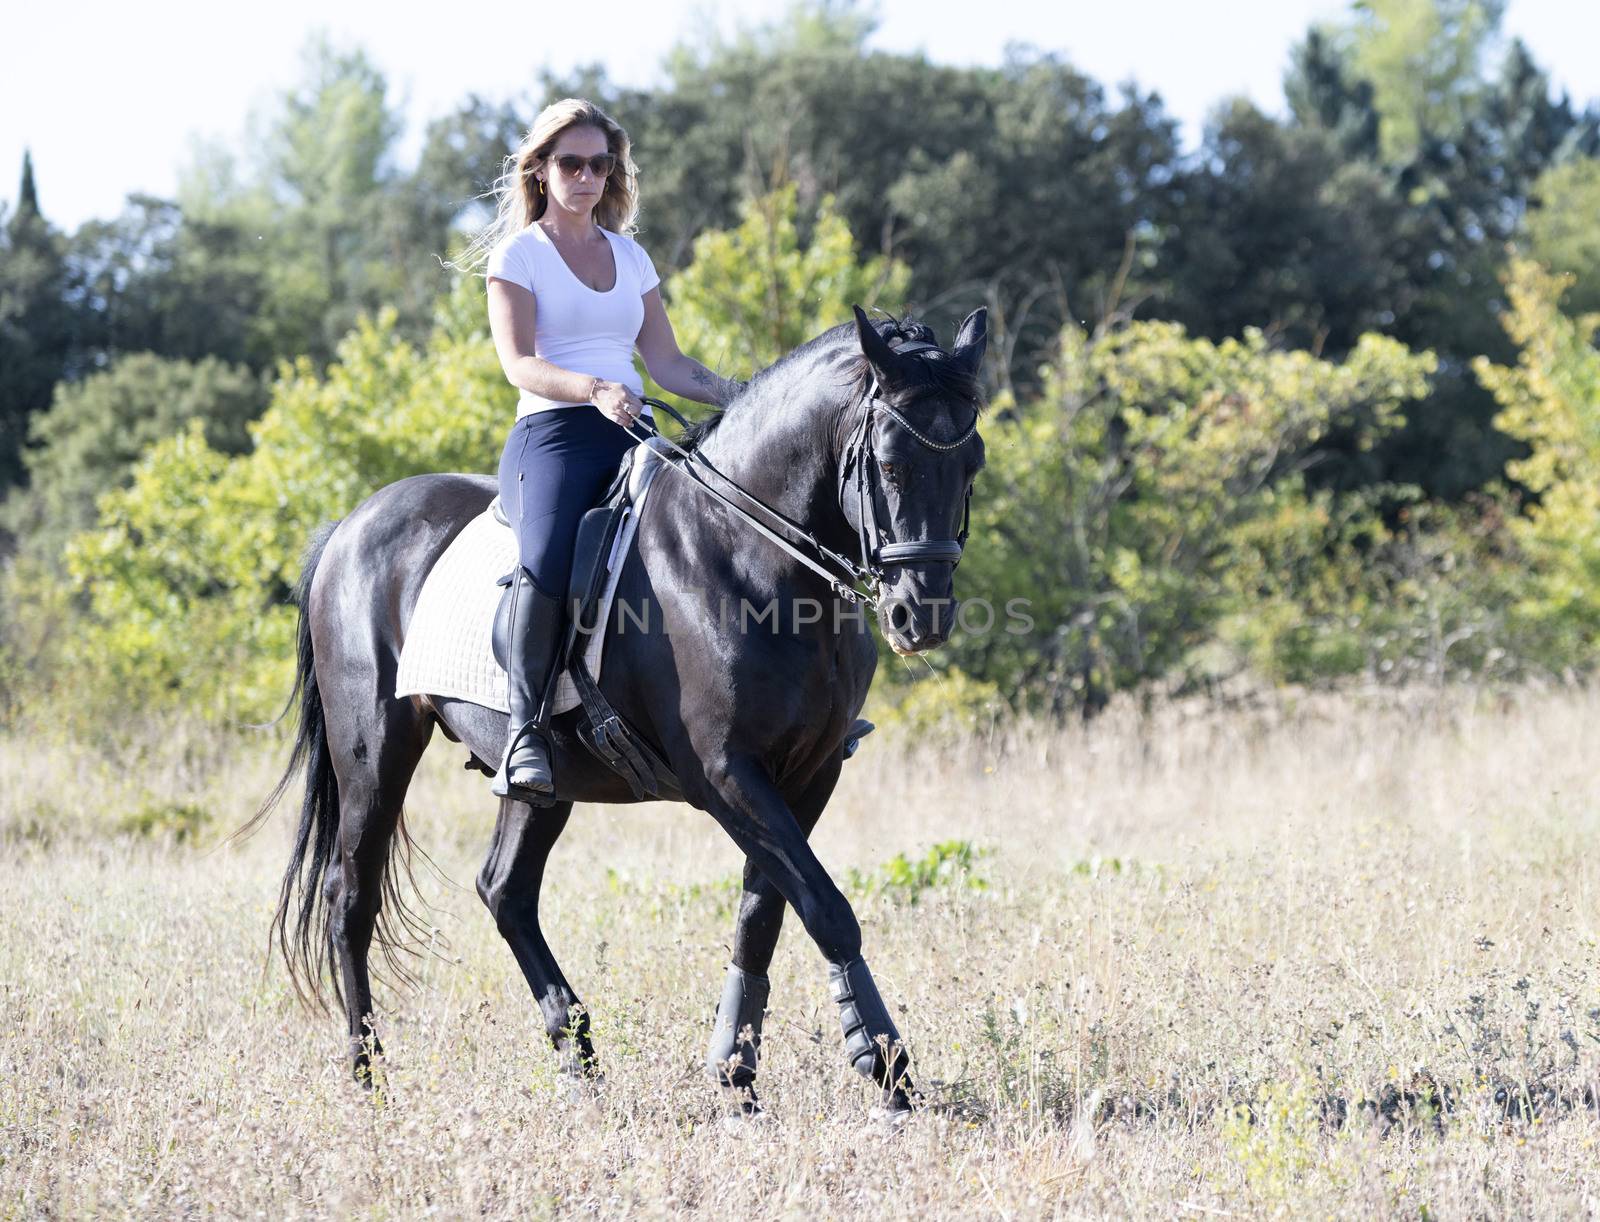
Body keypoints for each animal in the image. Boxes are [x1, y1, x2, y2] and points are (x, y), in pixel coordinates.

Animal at [249, 307, 985, 1119]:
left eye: (972, 465)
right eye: (889, 465)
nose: (922, 617)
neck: (746, 557)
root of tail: (350, 526)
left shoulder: (810, 773)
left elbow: (763, 915)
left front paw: (737, 1074)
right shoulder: (725, 777)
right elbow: (825, 908)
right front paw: (886, 1068)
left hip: (540, 783)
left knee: (504, 890)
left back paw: (579, 1056)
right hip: (375, 752)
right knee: (350, 896)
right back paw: (370, 1079)